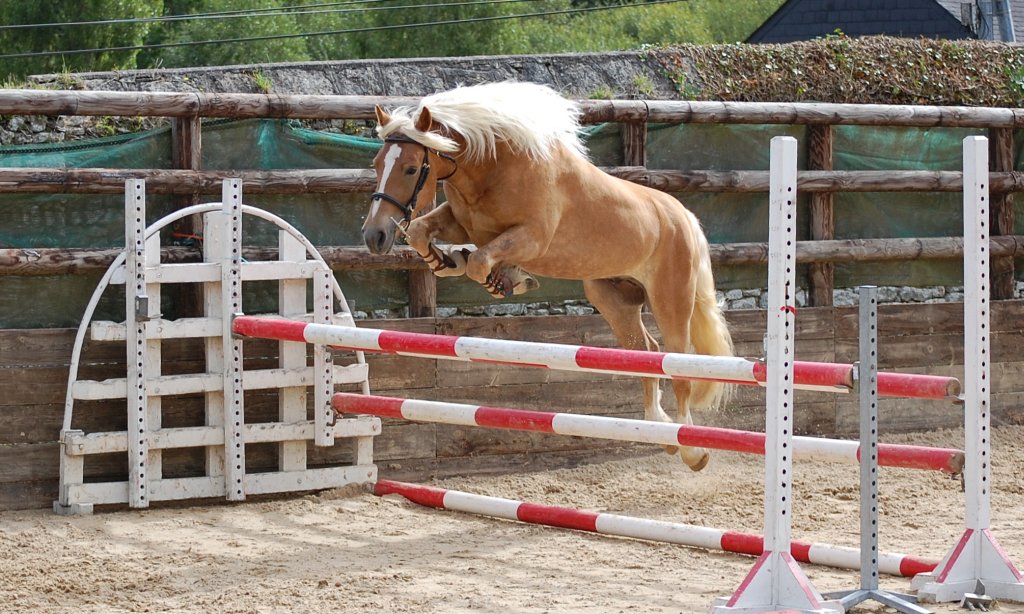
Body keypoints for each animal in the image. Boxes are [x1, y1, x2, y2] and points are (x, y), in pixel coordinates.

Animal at [364, 81, 733, 470]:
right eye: (377, 163)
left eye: (410, 168)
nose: (374, 236)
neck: (493, 166)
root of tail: (684, 217)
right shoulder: (462, 221)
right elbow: (424, 232)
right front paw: (449, 261)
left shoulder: (531, 238)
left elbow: (480, 260)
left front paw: (504, 279)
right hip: (613, 297)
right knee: (646, 352)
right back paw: (658, 430)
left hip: (671, 298)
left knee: (680, 366)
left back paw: (691, 449)